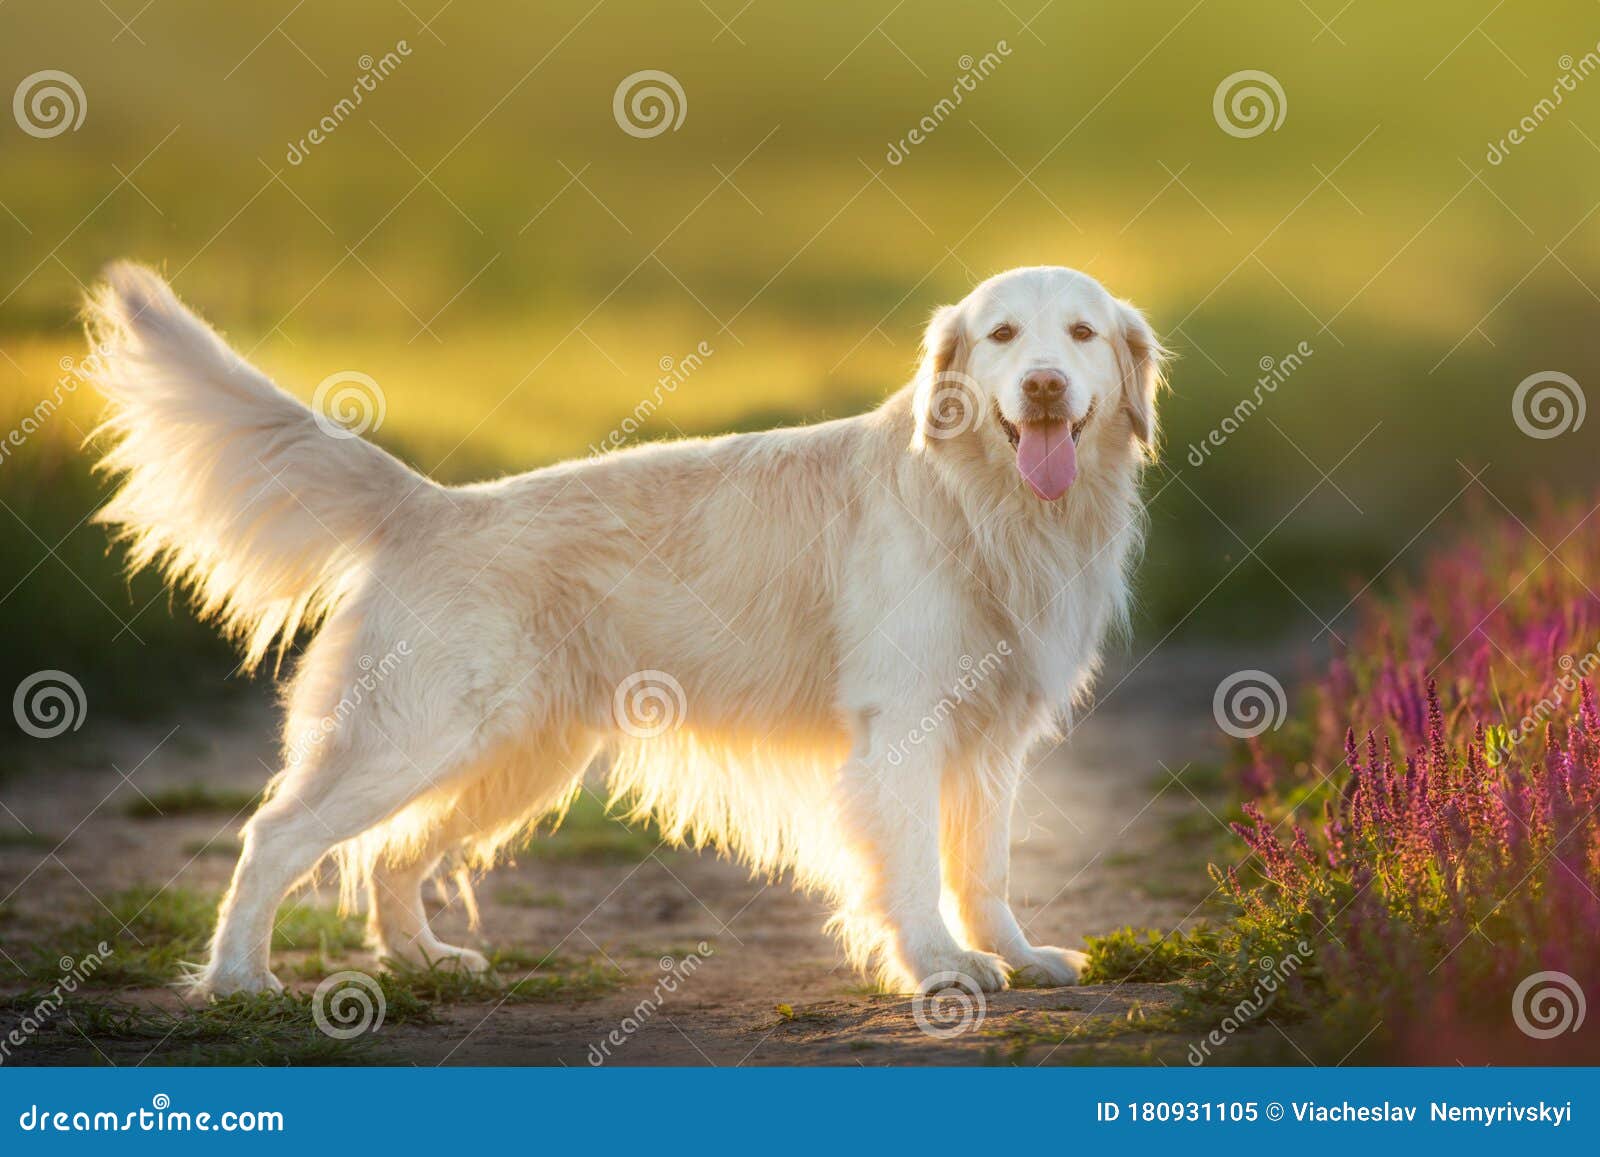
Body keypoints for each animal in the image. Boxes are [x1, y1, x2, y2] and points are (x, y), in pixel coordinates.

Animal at [84, 260, 1164, 998]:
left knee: (393, 854)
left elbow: (983, 869)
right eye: (1001, 335)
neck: (987, 504)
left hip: (515, 758)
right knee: (275, 835)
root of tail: (430, 505)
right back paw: (239, 979)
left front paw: (1016, 955)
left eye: (1079, 333)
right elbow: (911, 869)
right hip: (418, 737)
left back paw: (423, 958)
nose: (1042, 386)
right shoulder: (901, 729)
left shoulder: (992, 742)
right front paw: (940, 967)